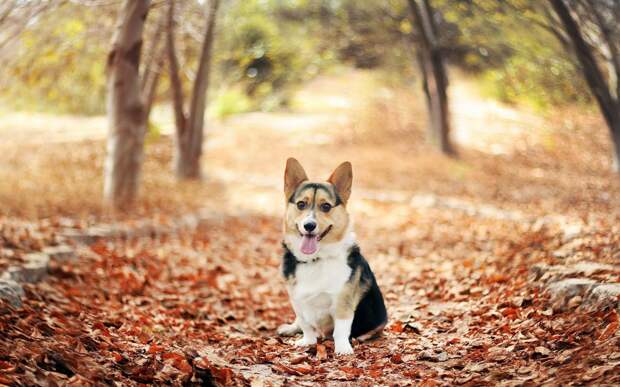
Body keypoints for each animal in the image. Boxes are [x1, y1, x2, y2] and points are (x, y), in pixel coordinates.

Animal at [278, 158, 388, 354]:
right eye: (301, 204)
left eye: (326, 206)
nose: (309, 225)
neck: (315, 259)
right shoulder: (297, 300)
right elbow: (306, 324)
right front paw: (307, 341)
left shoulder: (343, 302)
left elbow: (341, 329)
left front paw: (343, 349)